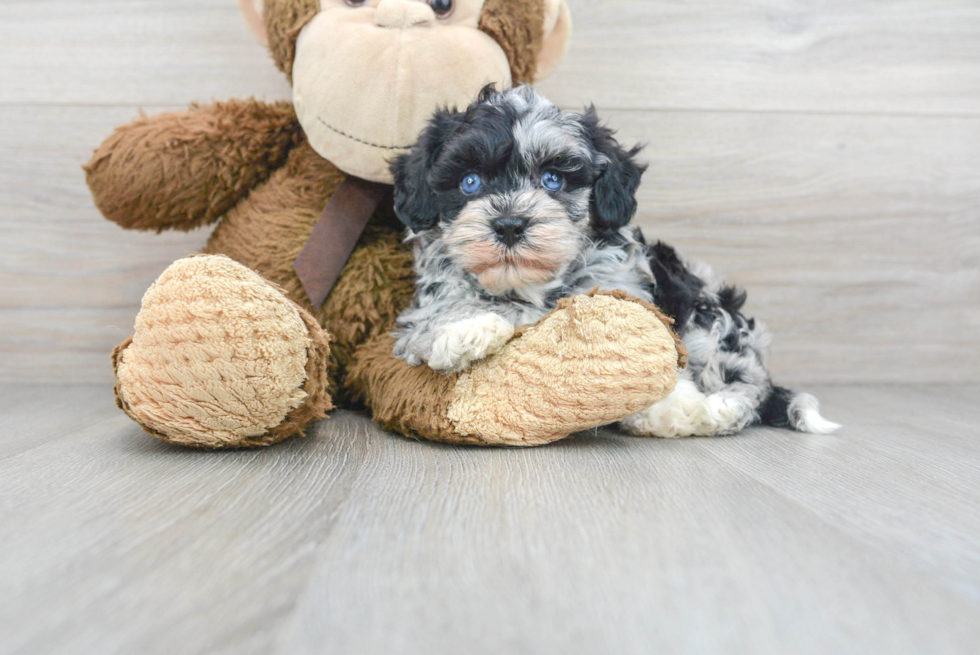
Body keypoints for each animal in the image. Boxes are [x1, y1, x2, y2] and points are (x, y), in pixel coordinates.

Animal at [386, 84, 840, 438]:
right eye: (469, 182)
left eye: (553, 179)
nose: (510, 224)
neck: (529, 288)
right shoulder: (422, 310)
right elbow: (442, 319)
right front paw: (466, 330)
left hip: (705, 312)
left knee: (740, 384)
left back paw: (707, 410)